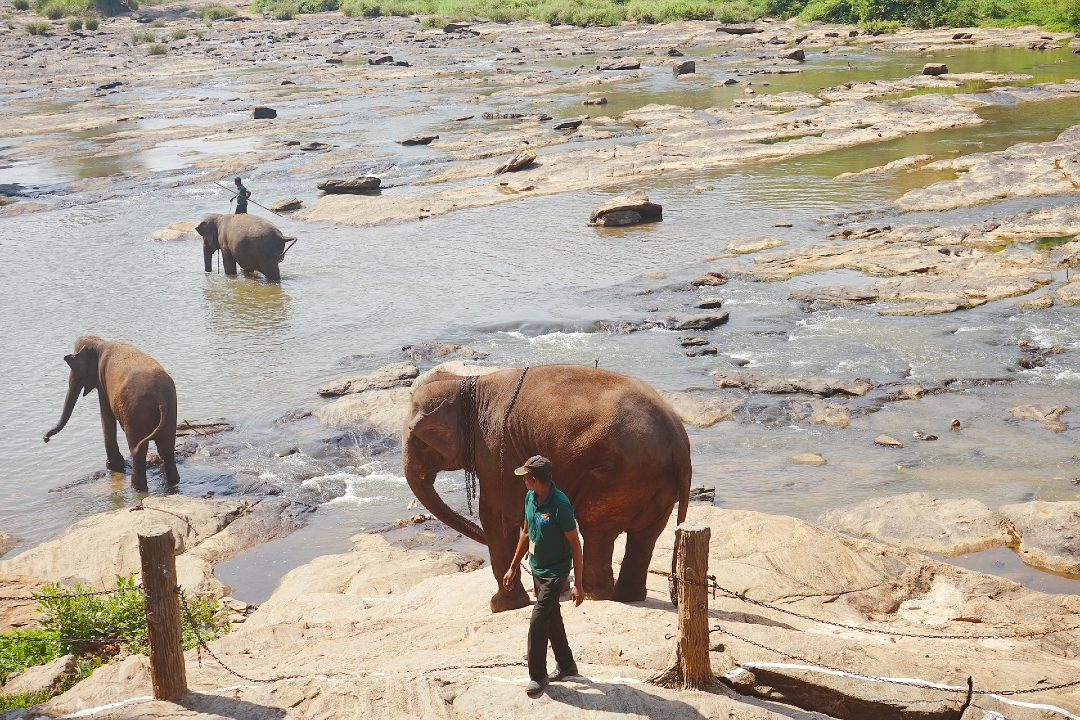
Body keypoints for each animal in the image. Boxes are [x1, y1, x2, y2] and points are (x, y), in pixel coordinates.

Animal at [43, 336, 179, 492]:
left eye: (76, 370)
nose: (46, 439)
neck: (100, 342)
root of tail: (159, 397)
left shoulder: (102, 382)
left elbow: (106, 416)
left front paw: (114, 466)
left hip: (135, 414)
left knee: (138, 450)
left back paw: (137, 488)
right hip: (170, 409)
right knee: (167, 446)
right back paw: (173, 482)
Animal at [406, 367, 691, 613]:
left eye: (417, 440)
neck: (466, 382)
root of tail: (679, 440)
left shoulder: (494, 452)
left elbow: (497, 518)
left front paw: (502, 606)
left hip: (619, 476)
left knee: (597, 529)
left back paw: (593, 594)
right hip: (655, 485)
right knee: (644, 536)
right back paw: (626, 596)